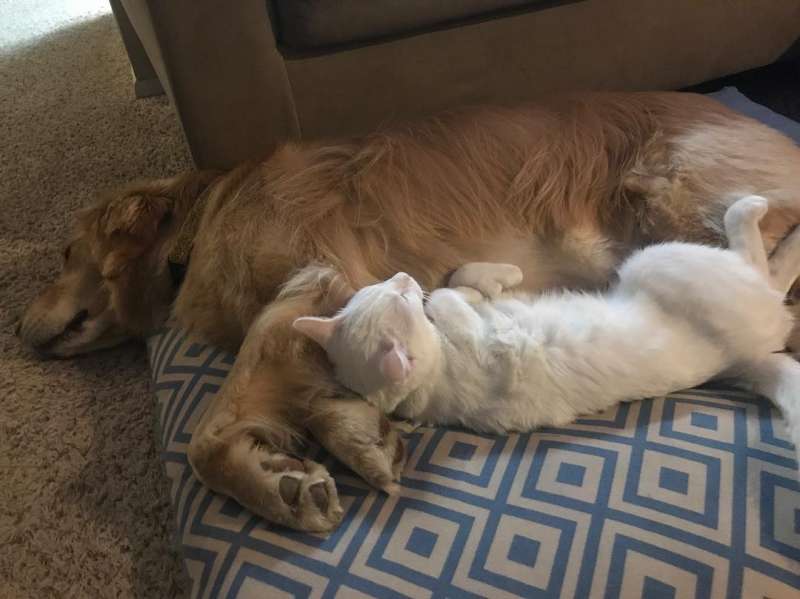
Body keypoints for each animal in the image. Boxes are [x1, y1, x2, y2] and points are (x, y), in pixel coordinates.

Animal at [293, 196, 800, 459]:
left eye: (382, 287)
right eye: (398, 298)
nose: (402, 277)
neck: (433, 375)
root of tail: (739, 359)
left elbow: (461, 282)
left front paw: (499, 278)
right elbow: (444, 298)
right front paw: (453, 297)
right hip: (663, 261)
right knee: (767, 271)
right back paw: (754, 210)